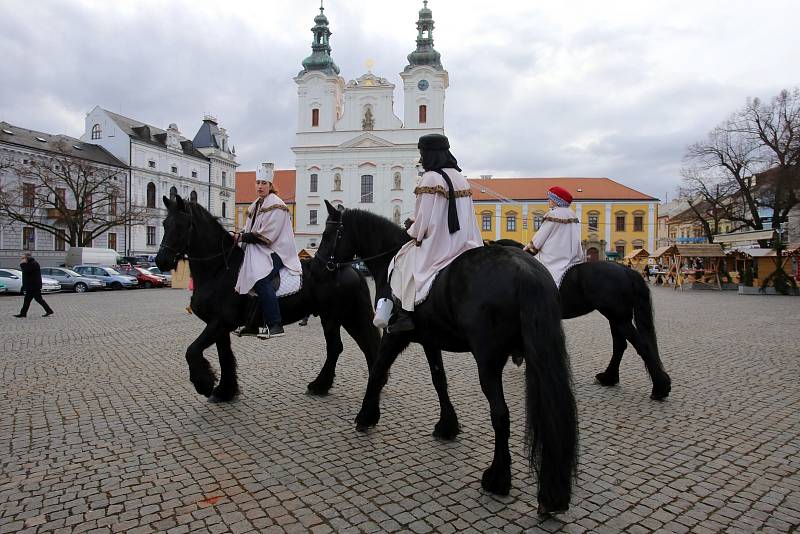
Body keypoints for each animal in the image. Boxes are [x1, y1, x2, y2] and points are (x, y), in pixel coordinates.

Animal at [156, 199, 382, 404]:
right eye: (165, 224)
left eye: (181, 226)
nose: (161, 261)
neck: (220, 269)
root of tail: (349, 268)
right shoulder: (219, 326)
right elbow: (224, 356)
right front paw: (225, 391)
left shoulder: (220, 322)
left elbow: (192, 351)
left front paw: (204, 384)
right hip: (344, 317)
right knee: (355, 347)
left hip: (335, 317)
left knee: (340, 347)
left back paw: (322, 385)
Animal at [322, 200, 580, 516]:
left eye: (327, 234)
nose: (318, 264)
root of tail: (526, 271)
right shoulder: (430, 340)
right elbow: (439, 380)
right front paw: (448, 425)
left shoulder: (395, 336)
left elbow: (378, 371)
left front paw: (366, 416)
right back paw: (551, 492)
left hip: (489, 362)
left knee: (500, 414)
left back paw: (497, 478)